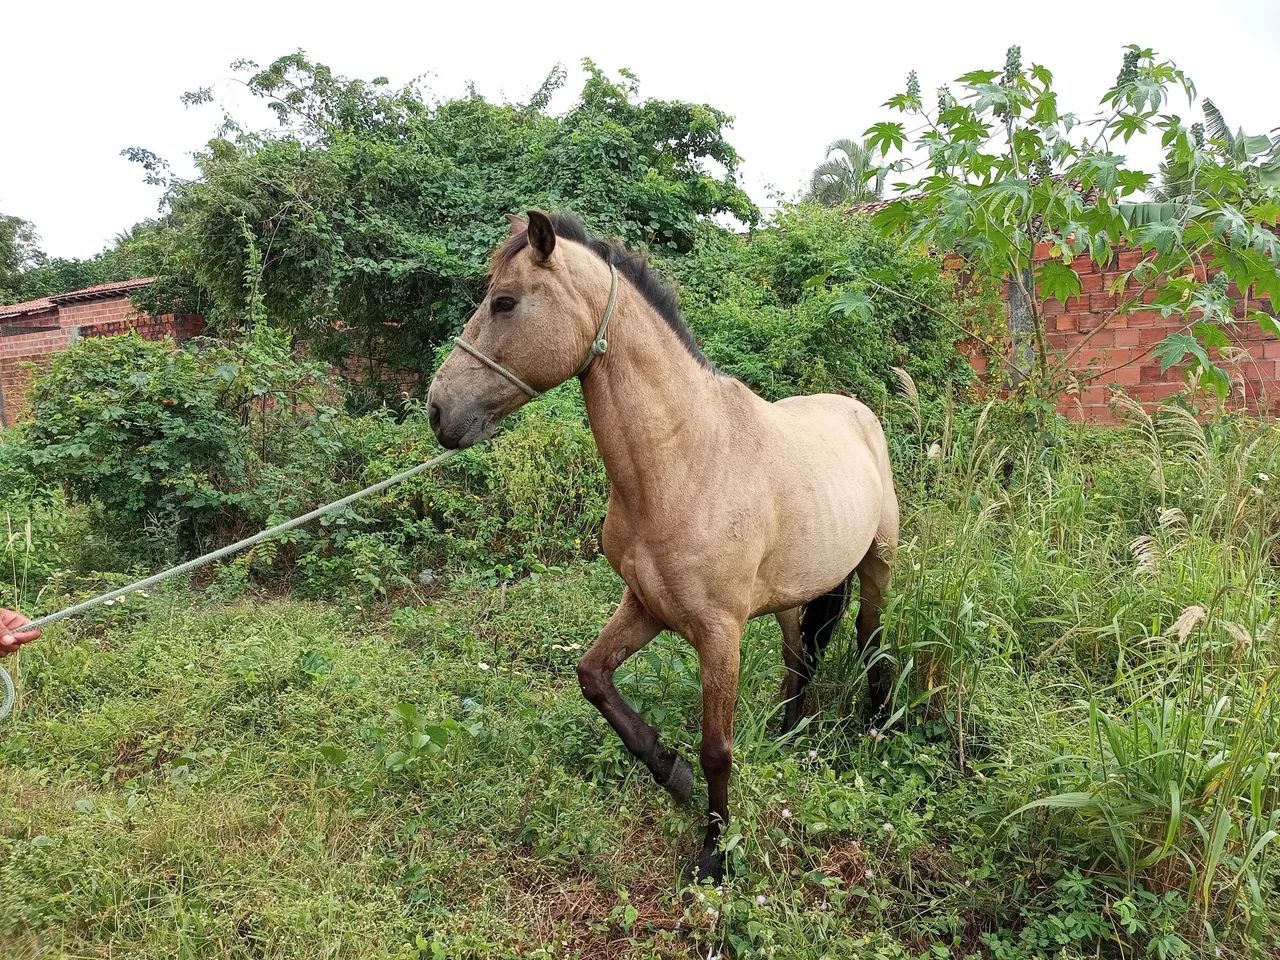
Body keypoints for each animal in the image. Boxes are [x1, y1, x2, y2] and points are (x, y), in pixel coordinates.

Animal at [427, 211, 899, 882]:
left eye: (505, 302)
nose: (439, 410)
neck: (684, 459)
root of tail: (859, 413)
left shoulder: (719, 632)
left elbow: (717, 749)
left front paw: (714, 856)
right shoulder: (645, 604)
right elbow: (593, 676)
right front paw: (669, 771)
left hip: (878, 563)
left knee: (870, 638)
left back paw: (877, 727)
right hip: (793, 594)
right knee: (799, 656)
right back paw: (789, 735)